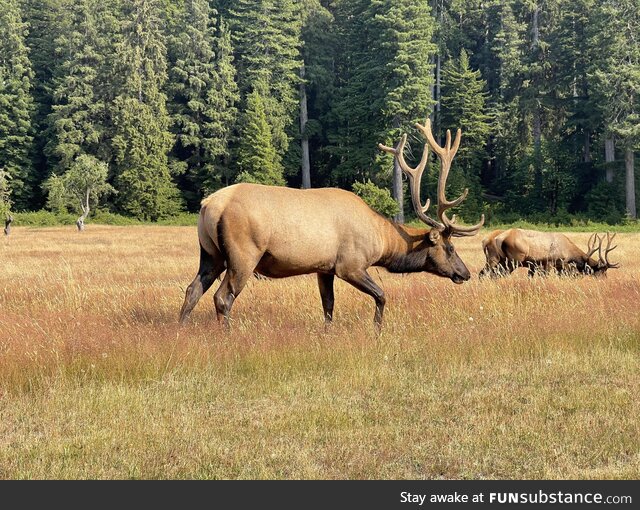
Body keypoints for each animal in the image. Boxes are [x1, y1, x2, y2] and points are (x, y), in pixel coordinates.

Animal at [178, 118, 482, 326]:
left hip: (211, 254)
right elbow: (381, 295)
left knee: (193, 289)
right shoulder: (351, 264)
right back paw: (227, 334)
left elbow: (328, 306)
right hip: (243, 254)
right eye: (450, 248)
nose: (465, 273)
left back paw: (182, 330)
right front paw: (377, 330)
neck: (380, 242)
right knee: (223, 297)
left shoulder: (324, 268)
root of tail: (209, 205)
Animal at [480, 228, 620, 276]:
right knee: (493, 274)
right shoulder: (550, 262)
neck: (568, 252)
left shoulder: (536, 265)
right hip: (512, 260)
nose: (605, 279)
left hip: (495, 259)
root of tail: (498, 238)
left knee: (485, 273)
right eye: (603, 270)